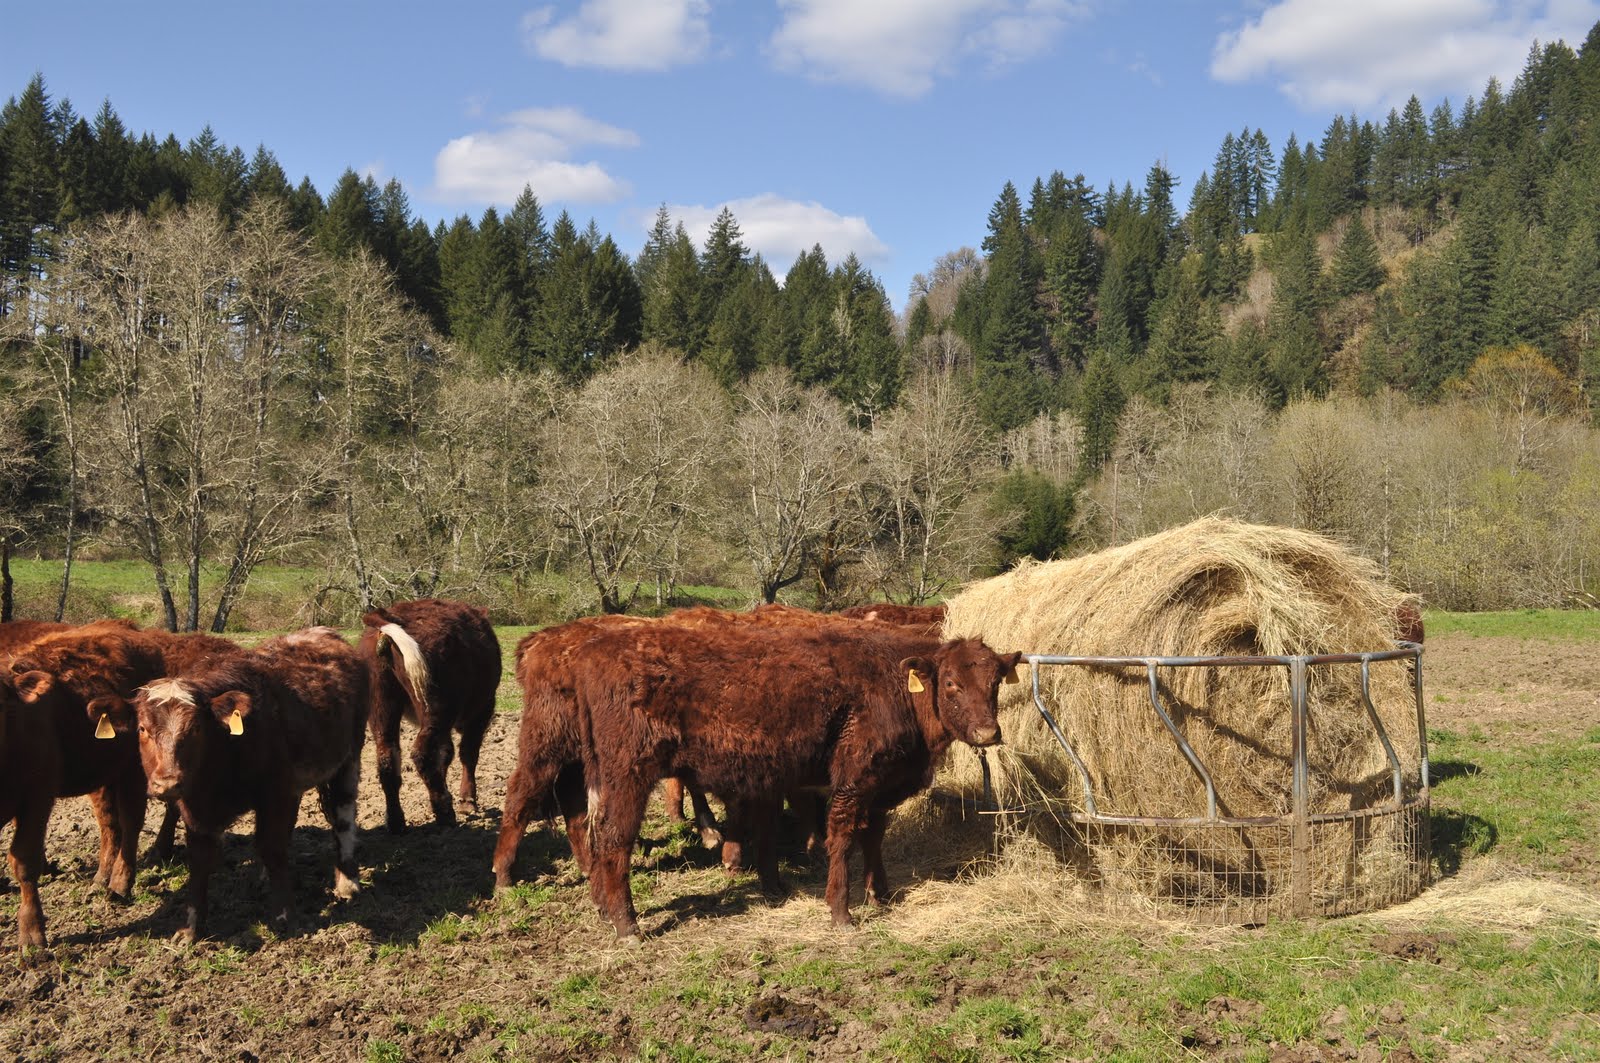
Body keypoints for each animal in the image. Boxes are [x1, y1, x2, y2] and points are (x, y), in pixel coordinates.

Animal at [99, 627, 367, 942]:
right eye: (142, 728)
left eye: (196, 728)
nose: (168, 783)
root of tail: (322, 632)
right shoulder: (197, 809)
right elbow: (201, 859)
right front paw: (191, 928)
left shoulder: (274, 793)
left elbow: (273, 848)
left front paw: (285, 916)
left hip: (349, 758)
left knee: (343, 816)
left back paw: (347, 881)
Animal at [358, 599, 501, 831]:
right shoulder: (482, 711)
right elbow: (468, 754)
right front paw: (467, 800)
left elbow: (446, 754)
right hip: (436, 708)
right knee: (422, 754)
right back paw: (444, 813)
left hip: (382, 707)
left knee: (387, 757)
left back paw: (396, 821)